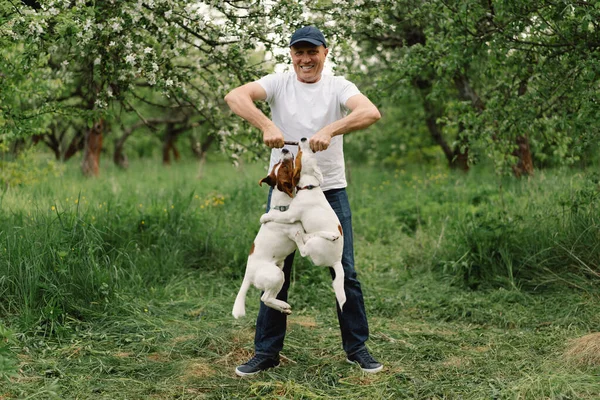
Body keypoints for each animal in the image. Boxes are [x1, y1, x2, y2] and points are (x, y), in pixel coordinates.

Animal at [258, 139, 346, 310]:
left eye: (298, 156)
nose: (304, 138)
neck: (309, 187)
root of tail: (336, 260)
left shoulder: (291, 214)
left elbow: (277, 215)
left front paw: (265, 217)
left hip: (313, 244)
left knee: (305, 250)